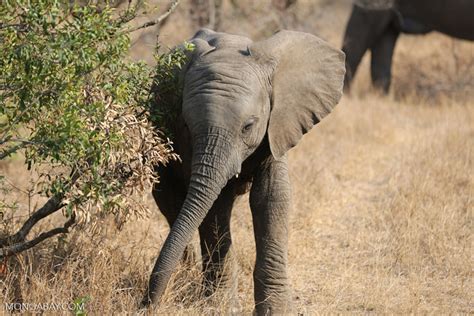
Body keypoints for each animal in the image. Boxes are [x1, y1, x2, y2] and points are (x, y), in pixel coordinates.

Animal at [141, 28, 344, 314]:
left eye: (248, 126)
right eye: (187, 126)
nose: (146, 304)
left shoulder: (277, 126)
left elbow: (271, 198)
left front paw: (276, 310)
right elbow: (214, 206)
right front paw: (220, 306)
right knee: (173, 205)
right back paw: (185, 276)